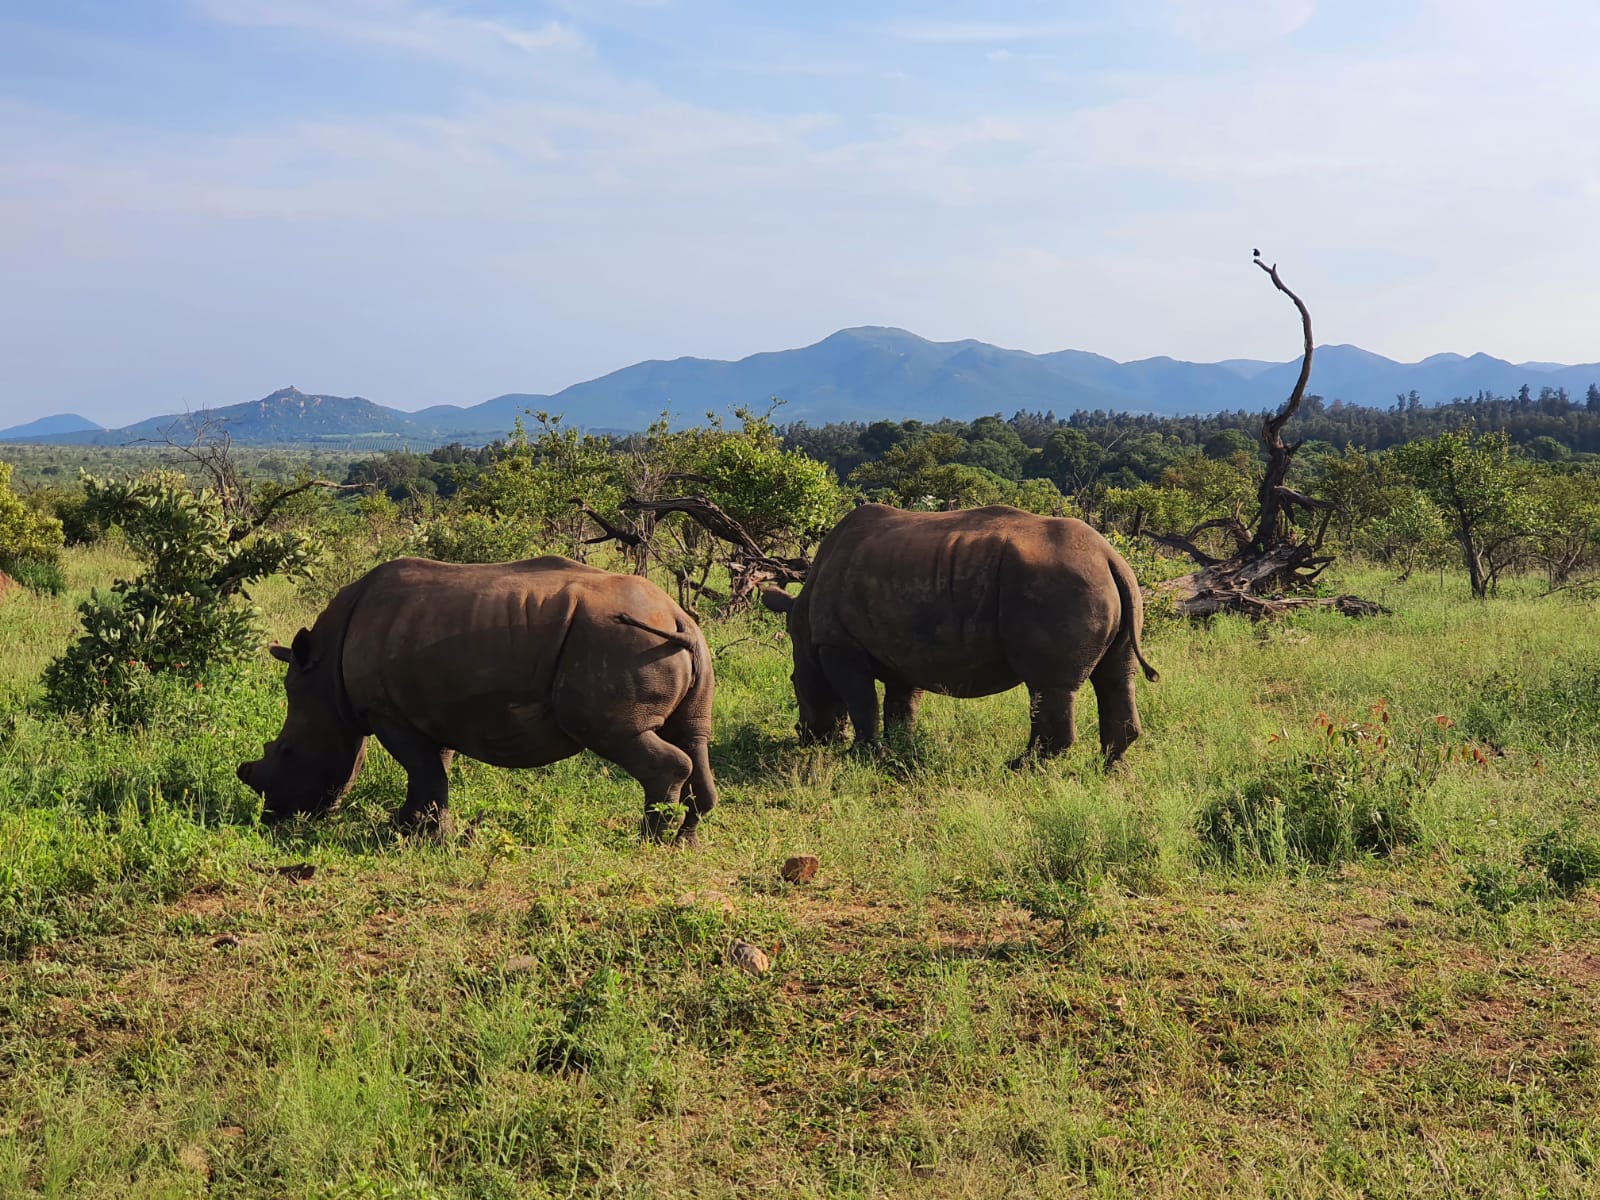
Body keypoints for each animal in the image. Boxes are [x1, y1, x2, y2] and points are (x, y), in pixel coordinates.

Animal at [235, 556, 720, 844]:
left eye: (286, 752)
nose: (271, 817)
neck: (324, 677)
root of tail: (677, 616)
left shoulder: (387, 711)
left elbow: (424, 769)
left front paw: (418, 836)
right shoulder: (428, 708)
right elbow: (435, 768)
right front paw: (415, 829)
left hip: (619, 643)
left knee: (621, 736)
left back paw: (646, 840)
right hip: (677, 646)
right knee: (693, 737)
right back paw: (685, 839)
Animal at [755, 502, 1158, 764]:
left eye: (794, 682)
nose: (805, 736)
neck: (803, 621)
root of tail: (1109, 556)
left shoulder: (837, 643)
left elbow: (862, 700)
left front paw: (861, 754)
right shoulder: (906, 646)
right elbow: (902, 703)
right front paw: (899, 749)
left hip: (1058, 584)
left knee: (1049, 685)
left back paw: (1019, 769)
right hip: (1110, 586)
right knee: (1116, 676)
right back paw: (1109, 770)